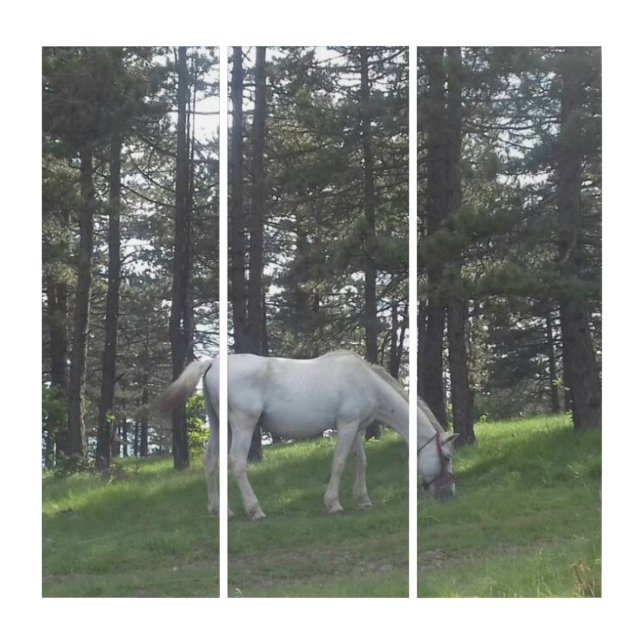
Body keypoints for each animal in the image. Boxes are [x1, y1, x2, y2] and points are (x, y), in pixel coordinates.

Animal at [161, 350, 457, 520]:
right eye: (447, 457)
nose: (449, 494)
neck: (367, 382)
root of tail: (212, 362)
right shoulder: (346, 425)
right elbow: (340, 463)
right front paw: (333, 503)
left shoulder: (356, 427)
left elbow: (361, 461)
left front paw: (362, 499)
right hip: (242, 425)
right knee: (237, 463)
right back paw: (255, 510)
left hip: (220, 426)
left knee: (210, 462)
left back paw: (219, 509)